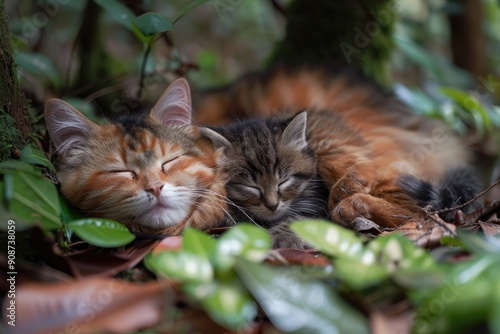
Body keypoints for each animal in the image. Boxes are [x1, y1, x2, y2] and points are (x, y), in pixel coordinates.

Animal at [203, 112, 328, 248]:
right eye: (251, 187)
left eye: (283, 182)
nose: (272, 206)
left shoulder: (319, 207)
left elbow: (298, 219)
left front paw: (283, 236)